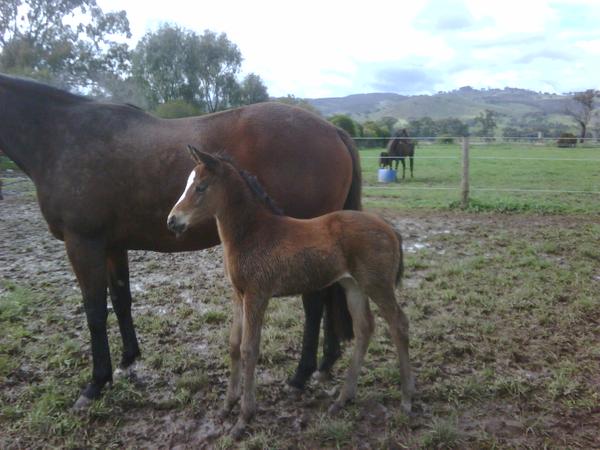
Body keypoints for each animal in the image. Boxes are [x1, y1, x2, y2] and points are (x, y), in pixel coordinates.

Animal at [0, 74, 360, 408]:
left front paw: (96, 383)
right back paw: (325, 364)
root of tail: (333, 131)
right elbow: (121, 300)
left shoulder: (83, 243)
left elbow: (94, 311)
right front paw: (129, 361)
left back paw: (301, 375)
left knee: (314, 303)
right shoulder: (112, 246)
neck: (60, 136)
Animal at [166, 147, 414, 436]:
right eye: (187, 184)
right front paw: (227, 406)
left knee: (399, 324)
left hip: (377, 284)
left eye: (201, 187)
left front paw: (244, 418)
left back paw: (407, 399)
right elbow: (234, 345)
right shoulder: (238, 295)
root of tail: (390, 229)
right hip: (353, 285)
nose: (172, 221)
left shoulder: (257, 296)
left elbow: (250, 348)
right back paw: (343, 398)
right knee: (365, 327)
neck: (252, 233)